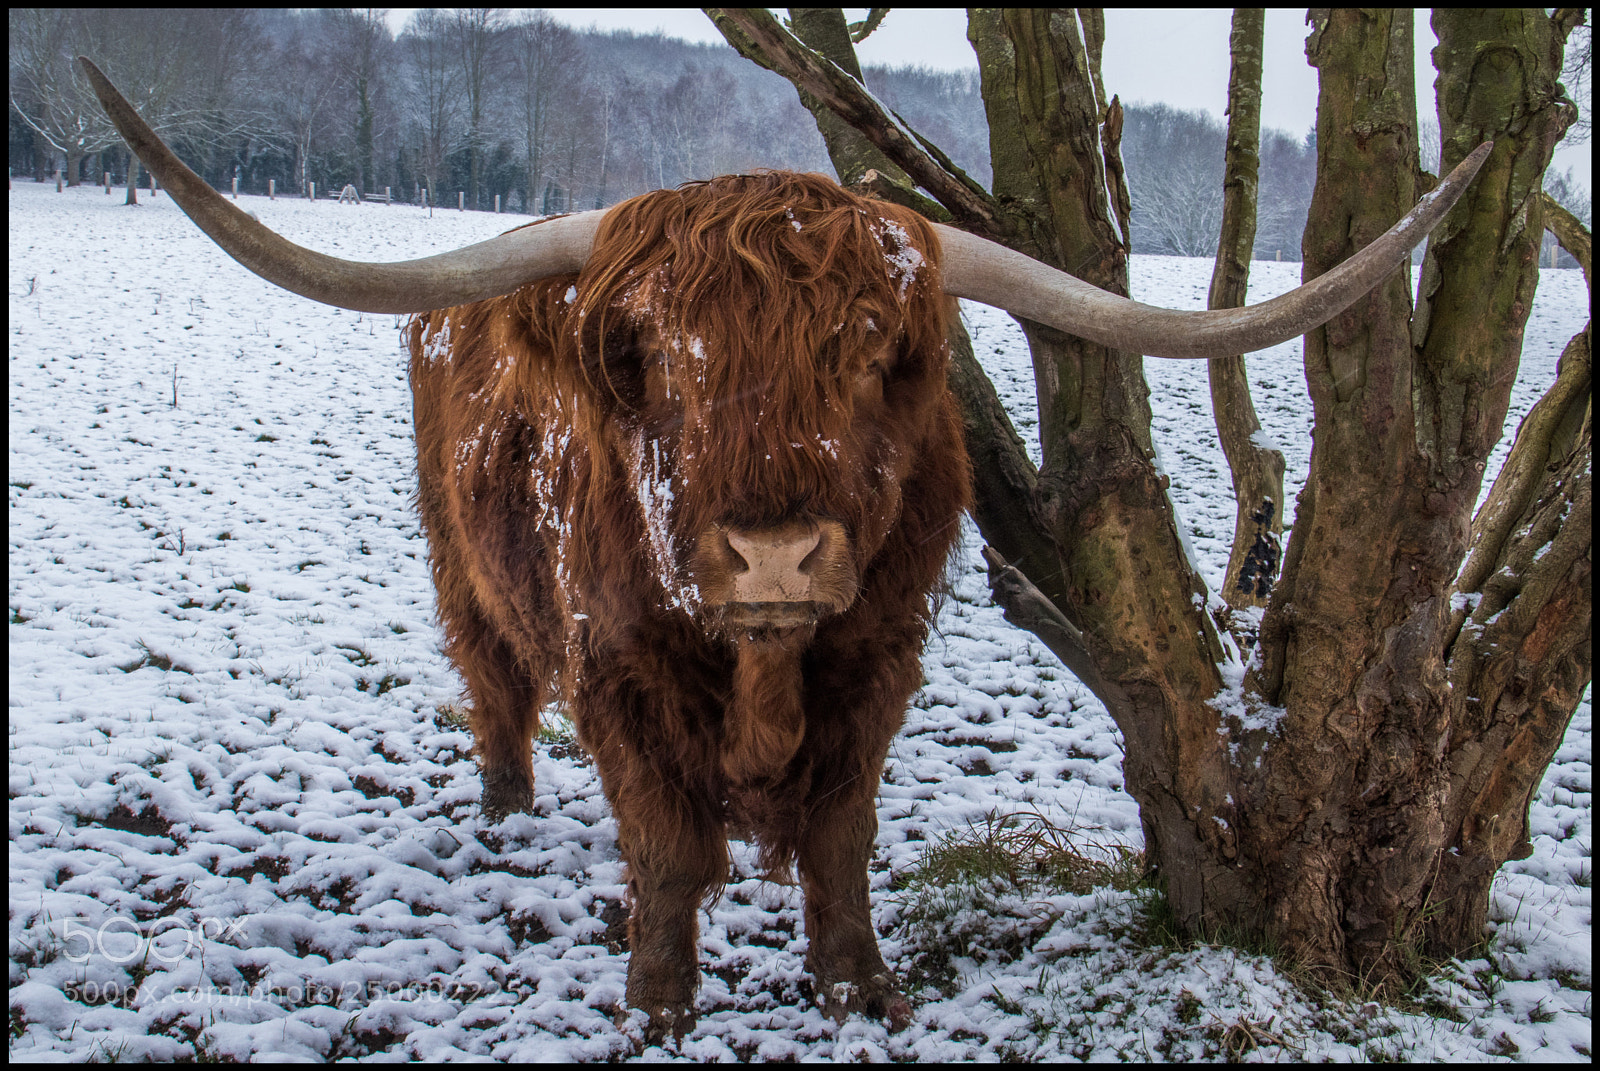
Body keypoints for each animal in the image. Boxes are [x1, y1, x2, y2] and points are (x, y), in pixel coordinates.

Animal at [79, 58, 1488, 1040]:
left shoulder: (879, 659)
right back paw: (506, 809)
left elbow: (841, 833)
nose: (771, 558)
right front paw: (657, 1001)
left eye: (871, 348)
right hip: (458, 565)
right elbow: (662, 845)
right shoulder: (617, 667)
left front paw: (857, 984)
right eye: (649, 352)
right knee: (492, 691)